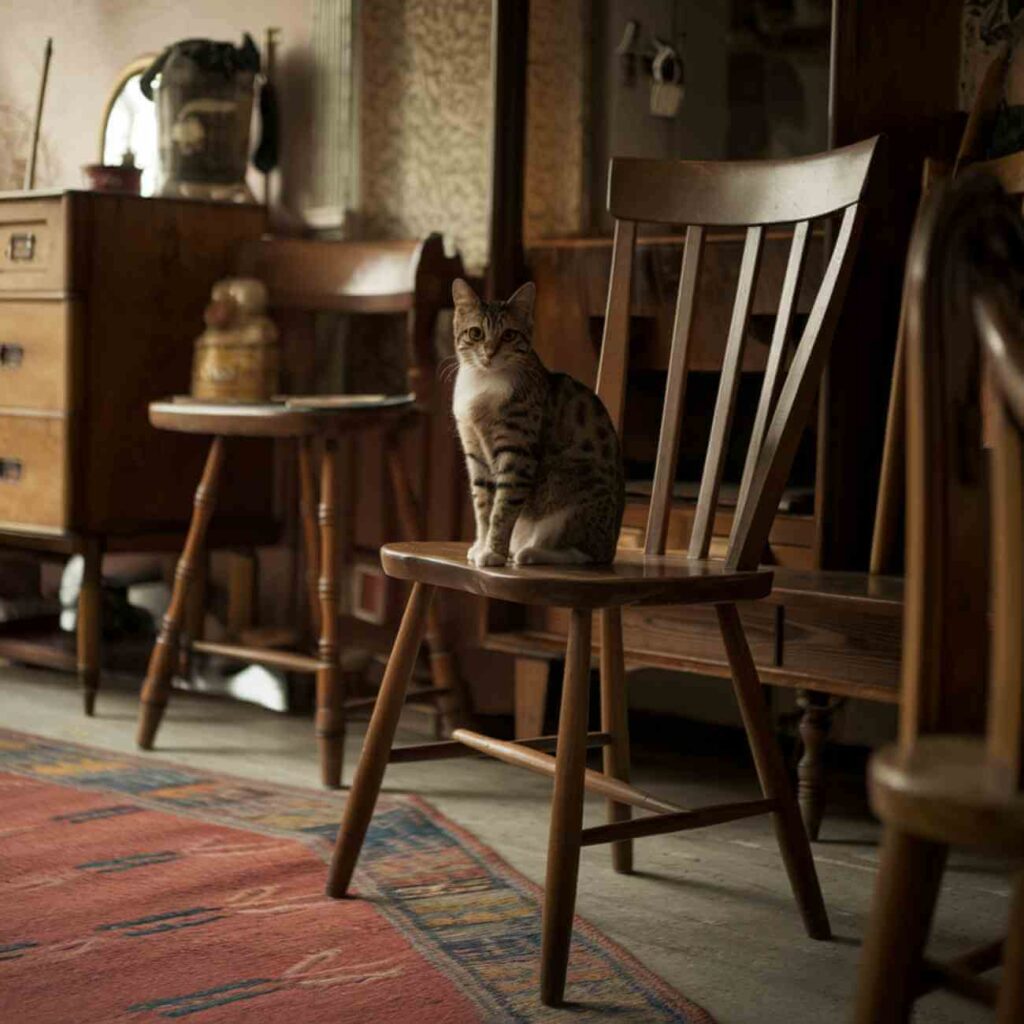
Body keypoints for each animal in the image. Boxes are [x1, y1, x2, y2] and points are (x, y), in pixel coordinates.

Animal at [454, 278, 626, 569]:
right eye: (476, 333)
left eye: (509, 335)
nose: (489, 352)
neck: (484, 381)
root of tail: (613, 546)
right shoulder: (474, 449)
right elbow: (483, 505)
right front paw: (481, 545)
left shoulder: (517, 453)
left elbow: (502, 508)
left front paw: (493, 552)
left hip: (574, 495)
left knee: (583, 553)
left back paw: (530, 553)